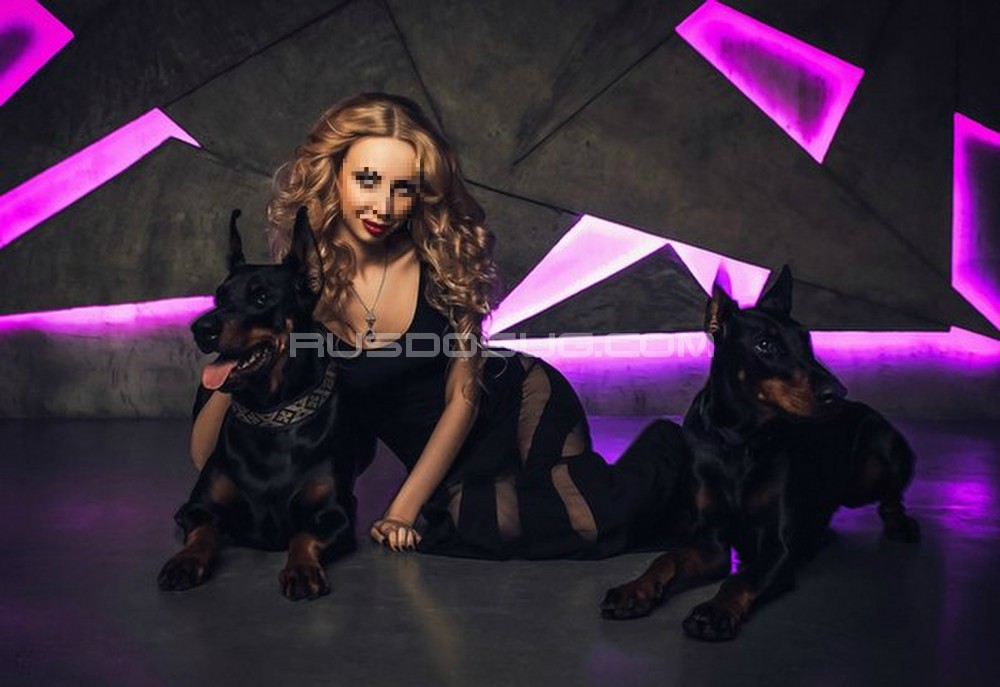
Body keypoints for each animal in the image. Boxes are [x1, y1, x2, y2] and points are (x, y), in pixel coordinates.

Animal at [157, 207, 373, 601]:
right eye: (218, 297)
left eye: (260, 298)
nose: (200, 329)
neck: (272, 415)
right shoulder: (195, 506)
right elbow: (203, 530)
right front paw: (185, 561)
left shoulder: (338, 513)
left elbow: (303, 533)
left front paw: (302, 569)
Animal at [600, 266, 920, 639]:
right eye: (765, 345)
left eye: (807, 341)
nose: (837, 393)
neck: (739, 440)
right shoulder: (712, 541)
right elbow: (666, 558)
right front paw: (634, 590)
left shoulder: (777, 546)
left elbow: (742, 579)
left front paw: (715, 610)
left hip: (880, 450)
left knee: (891, 496)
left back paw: (900, 524)